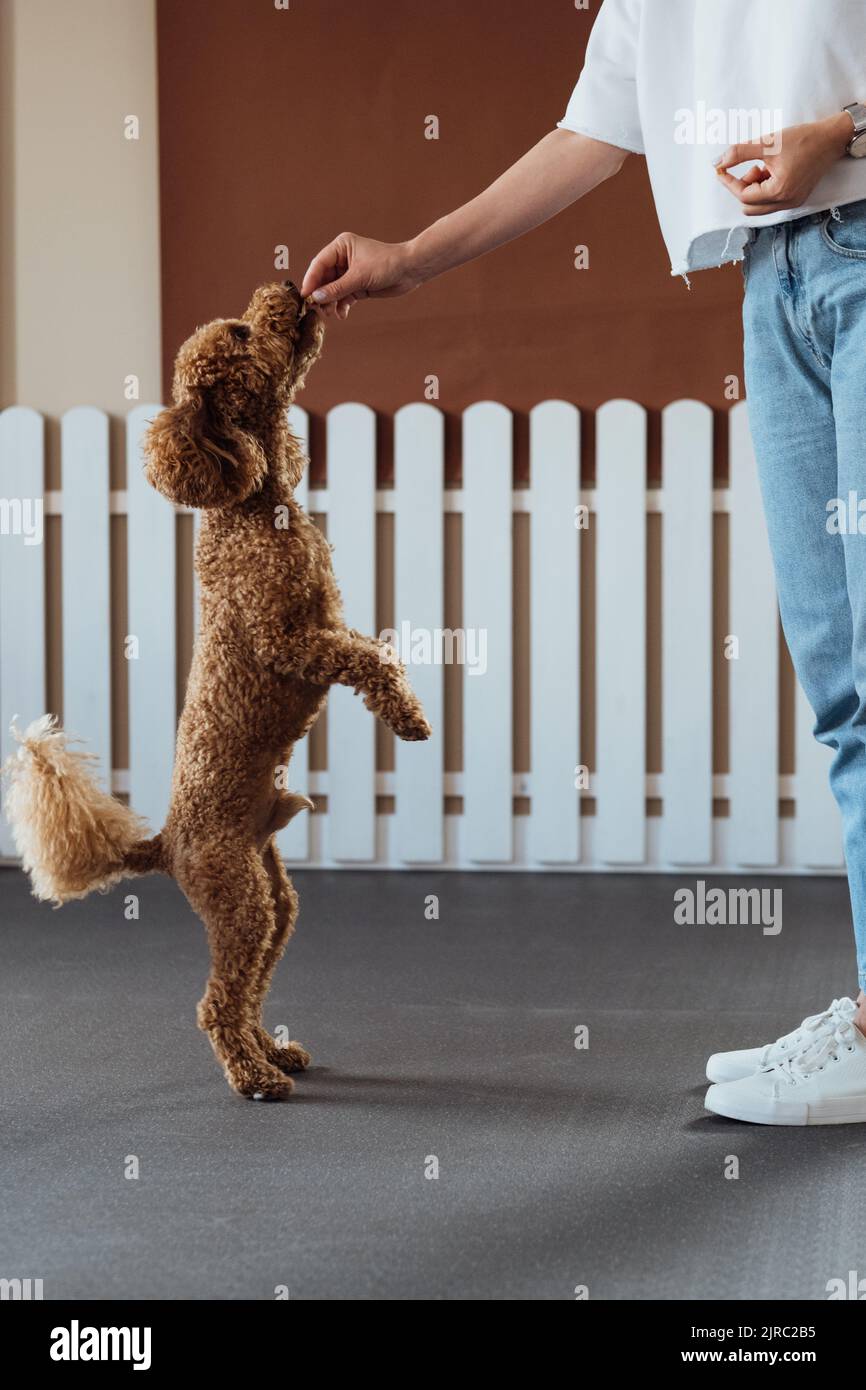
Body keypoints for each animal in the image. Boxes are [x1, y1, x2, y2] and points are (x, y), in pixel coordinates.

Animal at [2, 282, 430, 1100]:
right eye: (239, 332)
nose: (290, 287)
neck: (252, 503)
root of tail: (166, 844)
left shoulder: (329, 620)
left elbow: (368, 646)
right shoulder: (291, 642)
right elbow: (367, 660)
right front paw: (410, 718)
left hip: (274, 896)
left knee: (253, 983)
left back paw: (272, 1051)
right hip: (236, 896)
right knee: (216, 1002)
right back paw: (254, 1076)